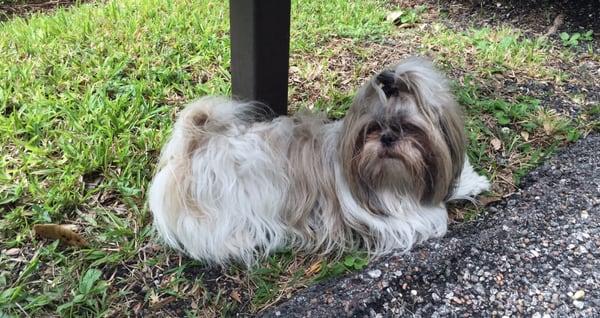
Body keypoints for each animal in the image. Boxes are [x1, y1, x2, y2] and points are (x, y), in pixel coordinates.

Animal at [148, 57, 490, 266]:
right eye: (372, 128)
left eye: (408, 128)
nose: (388, 138)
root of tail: (195, 145)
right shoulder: (391, 218)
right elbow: (433, 217)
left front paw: (471, 182)